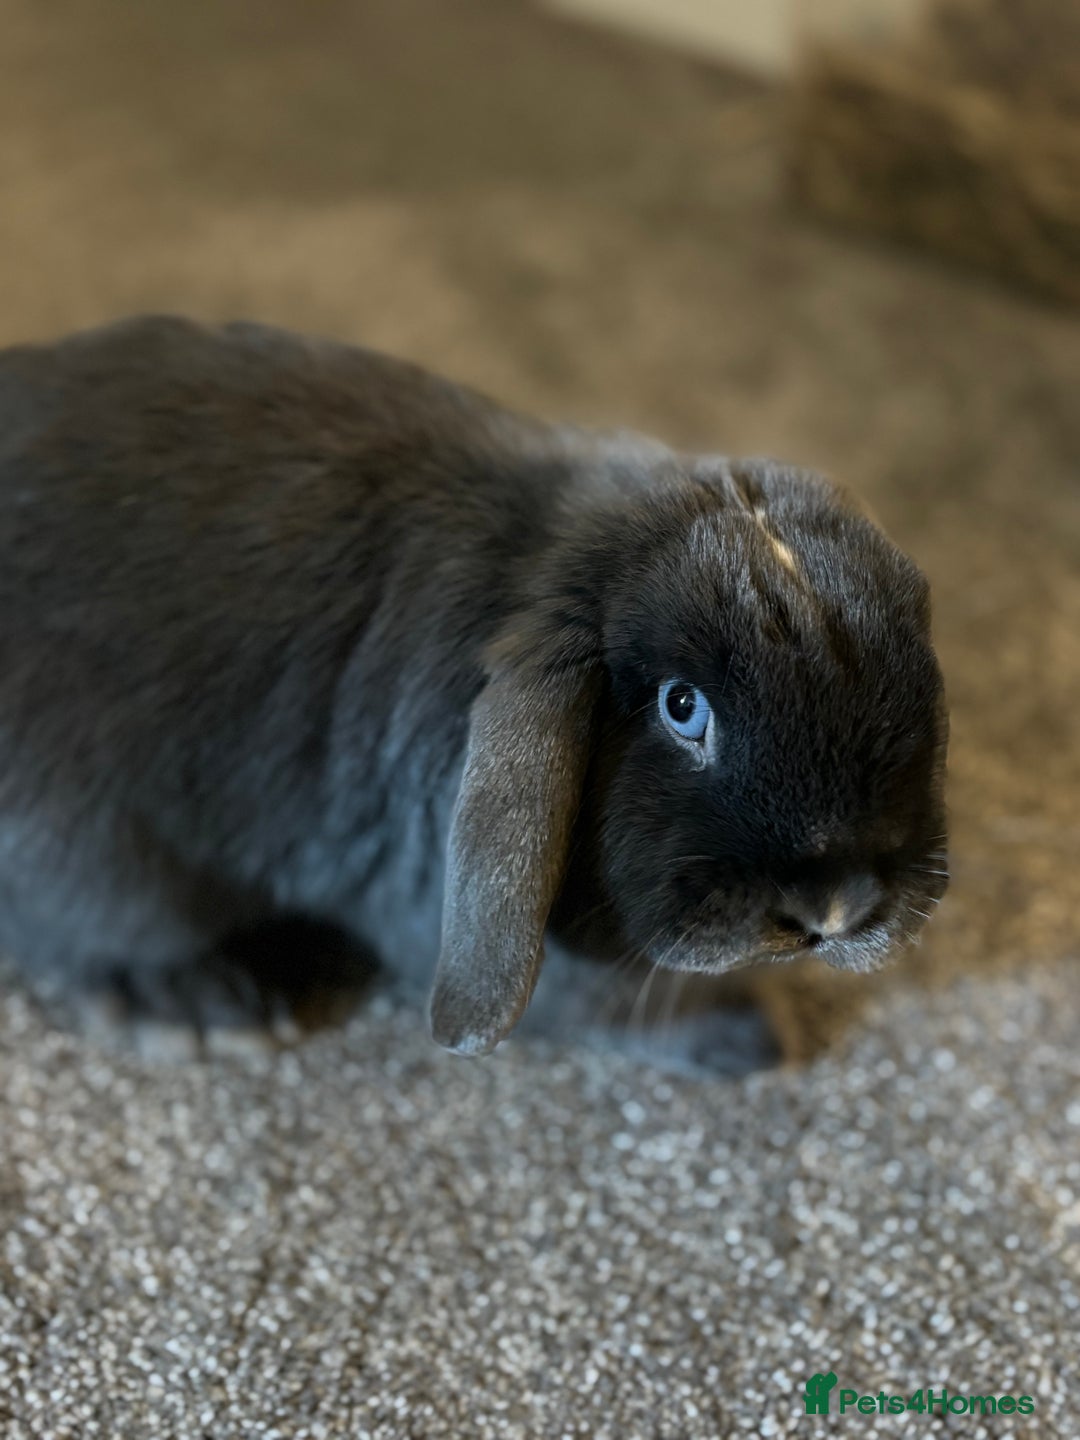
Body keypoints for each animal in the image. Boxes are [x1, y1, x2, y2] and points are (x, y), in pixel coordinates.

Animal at [0, 315, 948, 1065]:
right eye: (683, 707)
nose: (835, 902)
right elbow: (614, 1003)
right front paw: (748, 1036)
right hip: (98, 851)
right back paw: (202, 1010)